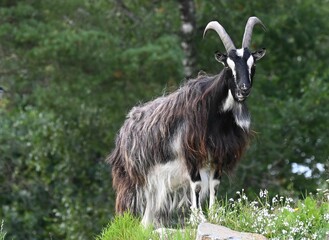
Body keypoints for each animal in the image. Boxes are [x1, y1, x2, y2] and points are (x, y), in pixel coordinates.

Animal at [108, 15, 266, 226]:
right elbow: (197, 185)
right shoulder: (190, 154)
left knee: (147, 220)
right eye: (227, 65)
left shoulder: (218, 154)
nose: (243, 89)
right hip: (133, 181)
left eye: (252, 65)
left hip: (154, 188)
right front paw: (198, 218)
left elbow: (215, 185)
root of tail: (124, 130)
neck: (215, 116)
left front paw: (215, 215)